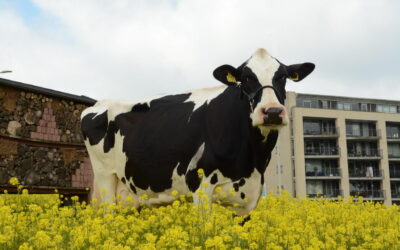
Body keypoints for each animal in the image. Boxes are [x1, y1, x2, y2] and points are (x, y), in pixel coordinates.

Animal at [79, 48, 314, 215]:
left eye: (283, 77)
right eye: (246, 78)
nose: (272, 112)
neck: (251, 160)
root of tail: (97, 104)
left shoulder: (249, 197)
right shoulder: (200, 185)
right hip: (105, 179)